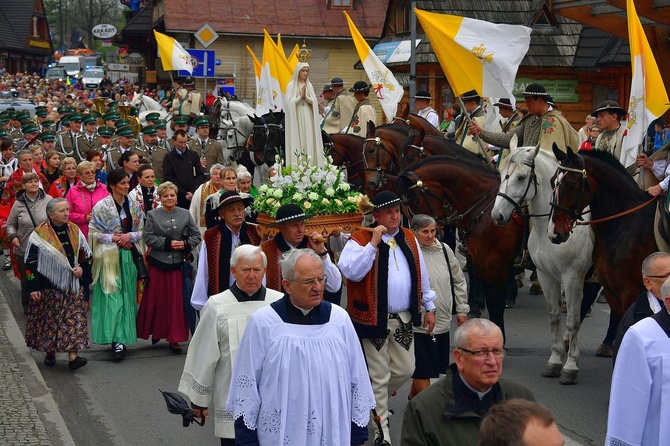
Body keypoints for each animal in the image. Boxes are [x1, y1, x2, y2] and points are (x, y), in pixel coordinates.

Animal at [400, 154, 524, 338]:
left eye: (416, 199)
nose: (434, 230)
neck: (486, 211)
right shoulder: (480, 259)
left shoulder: (497, 262)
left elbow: (496, 302)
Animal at [490, 138, 596, 386]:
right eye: (500, 174)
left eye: (521, 177)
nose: (497, 216)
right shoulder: (546, 276)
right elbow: (554, 316)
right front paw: (555, 360)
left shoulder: (572, 278)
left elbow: (572, 319)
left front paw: (570, 366)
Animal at [552, 146, 656, 356]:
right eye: (553, 181)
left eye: (571, 183)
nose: (555, 232)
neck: (625, 223)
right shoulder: (610, 289)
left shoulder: (630, 291)